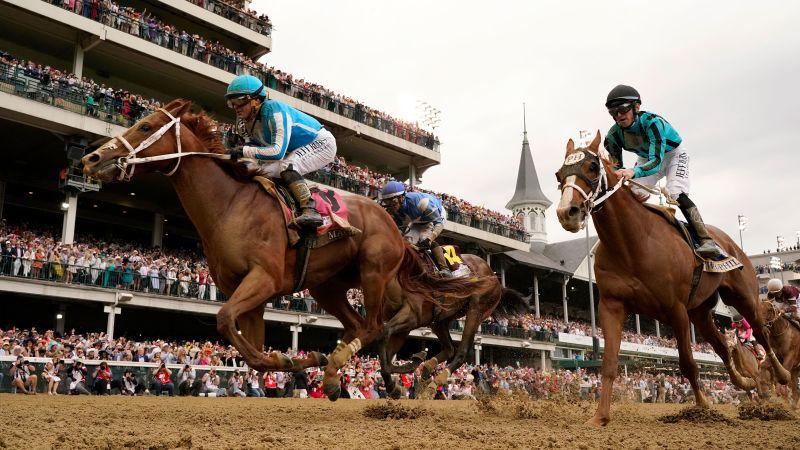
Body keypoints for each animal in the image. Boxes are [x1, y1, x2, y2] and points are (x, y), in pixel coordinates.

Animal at [81, 100, 494, 400]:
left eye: (146, 127)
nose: (91, 158)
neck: (230, 205)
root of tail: (392, 224)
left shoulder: (263, 281)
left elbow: (224, 320)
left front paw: (311, 359)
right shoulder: (247, 293)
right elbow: (252, 350)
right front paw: (300, 358)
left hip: (380, 273)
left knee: (382, 328)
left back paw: (379, 375)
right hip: (327, 286)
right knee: (361, 326)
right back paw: (339, 373)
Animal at [378, 253, 528, 398]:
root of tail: (495, 278)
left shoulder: (412, 316)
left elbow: (385, 336)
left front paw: (394, 386)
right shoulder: (403, 324)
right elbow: (388, 355)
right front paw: (399, 382)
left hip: (476, 309)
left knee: (461, 352)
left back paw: (432, 384)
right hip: (440, 319)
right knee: (450, 348)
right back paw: (426, 369)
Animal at [552, 132, 792, 428]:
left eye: (593, 167)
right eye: (559, 174)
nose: (567, 212)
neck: (631, 243)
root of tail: (730, 243)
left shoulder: (675, 309)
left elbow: (688, 363)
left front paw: (702, 407)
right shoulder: (611, 305)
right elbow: (608, 363)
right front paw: (600, 417)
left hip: (743, 297)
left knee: (760, 334)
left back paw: (780, 375)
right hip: (700, 313)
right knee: (723, 346)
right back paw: (745, 381)